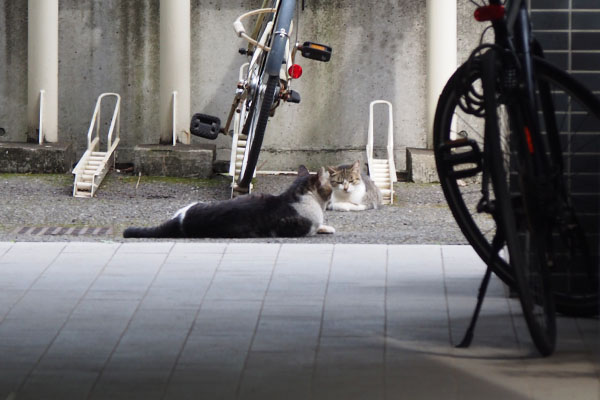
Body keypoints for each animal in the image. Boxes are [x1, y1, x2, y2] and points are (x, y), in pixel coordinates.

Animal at [123, 165, 336, 238]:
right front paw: (327, 227)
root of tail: (180, 221)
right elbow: (317, 227)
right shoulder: (306, 228)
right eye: (330, 189)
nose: (332, 198)